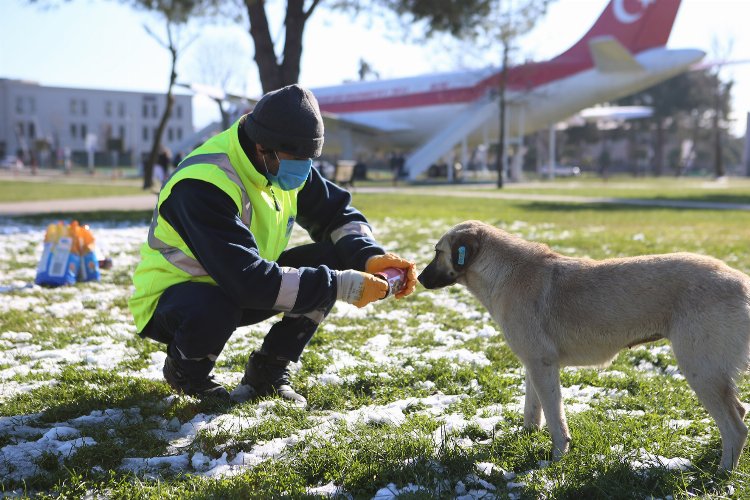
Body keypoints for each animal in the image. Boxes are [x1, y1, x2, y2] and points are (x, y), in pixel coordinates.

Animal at [418, 221, 750, 470]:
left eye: (437, 252)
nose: (418, 278)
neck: (503, 271)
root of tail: (743, 283)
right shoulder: (533, 365)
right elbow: (532, 410)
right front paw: (525, 437)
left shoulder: (543, 366)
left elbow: (555, 421)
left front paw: (556, 461)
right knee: (739, 412)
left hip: (700, 370)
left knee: (735, 427)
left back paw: (721, 474)